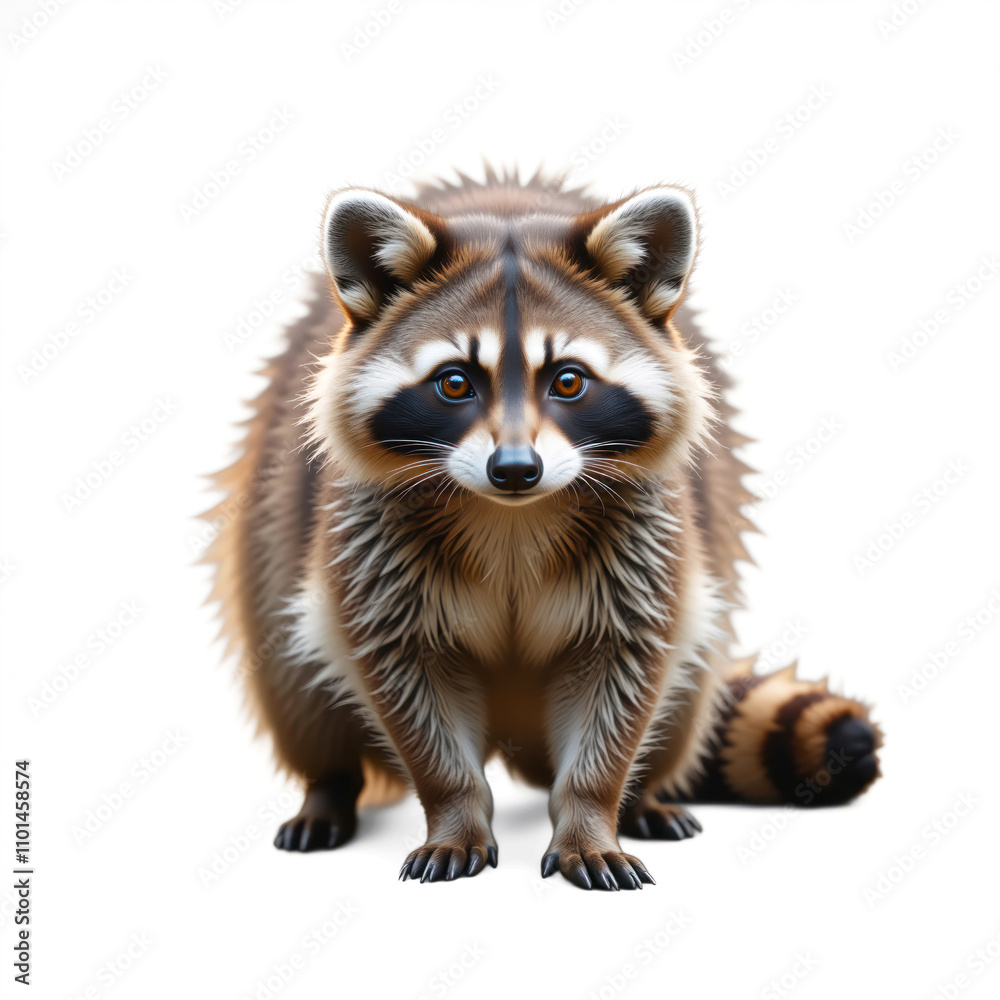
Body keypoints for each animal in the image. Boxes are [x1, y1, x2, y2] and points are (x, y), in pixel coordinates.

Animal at [205, 168, 881, 890]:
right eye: (453, 383)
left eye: (569, 381)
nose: (514, 470)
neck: (511, 516)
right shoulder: (369, 545)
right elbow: (408, 680)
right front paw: (455, 813)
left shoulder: (648, 540)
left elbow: (623, 675)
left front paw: (592, 815)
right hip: (272, 541)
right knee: (294, 687)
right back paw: (325, 788)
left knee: (686, 682)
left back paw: (645, 794)